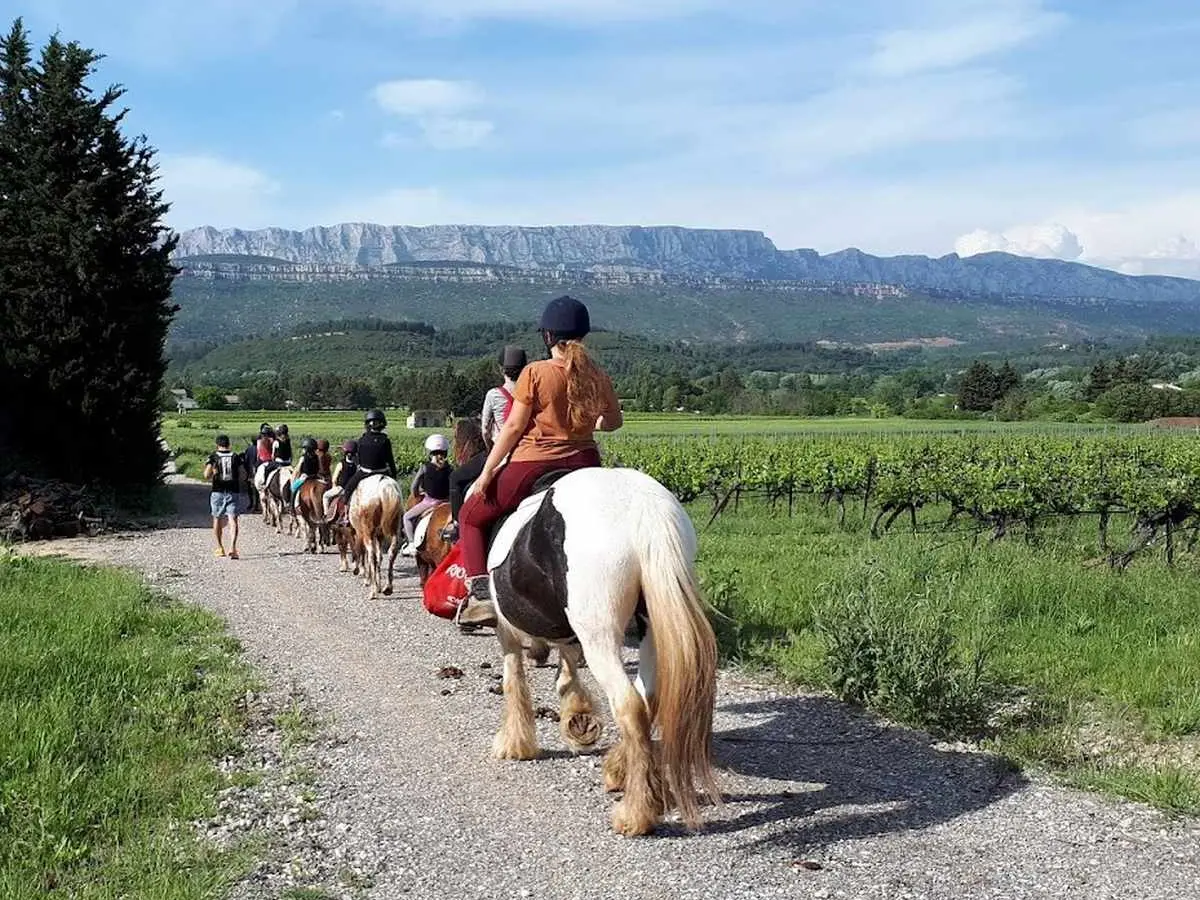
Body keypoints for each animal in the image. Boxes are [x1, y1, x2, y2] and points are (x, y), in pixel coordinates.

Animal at [482, 468, 715, 835]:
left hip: (600, 634)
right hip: (651, 626)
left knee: (629, 705)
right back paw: (621, 770)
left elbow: (513, 681)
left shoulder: (506, 632)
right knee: (647, 697)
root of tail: (644, 511)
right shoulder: (568, 635)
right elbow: (566, 671)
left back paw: (635, 813)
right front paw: (577, 720)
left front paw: (516, 744)